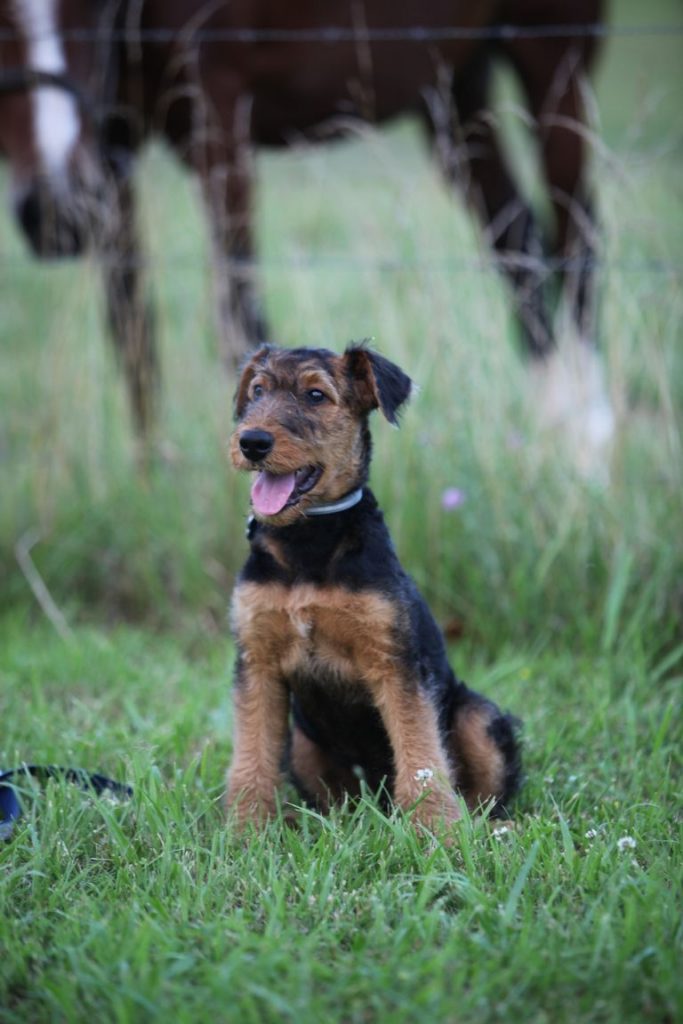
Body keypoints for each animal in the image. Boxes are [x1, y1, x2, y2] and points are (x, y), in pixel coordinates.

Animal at [0, 1, 606, 440]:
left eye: (90, 8)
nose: (54, 212)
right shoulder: (113, 138)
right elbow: (132, 331)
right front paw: (155, 481)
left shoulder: (218, 108)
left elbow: (238, 316)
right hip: (455, 82)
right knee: (518, 241)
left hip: (552, 53)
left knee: (575, 242)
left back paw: (589, 447)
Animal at [227, 342, 520, 831]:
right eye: (257, 391)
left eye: (315, 395)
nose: (252, 442)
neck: (308, 540)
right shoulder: (257, 660)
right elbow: (251, 755)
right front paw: (245, 830)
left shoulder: (394, 661)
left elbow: (421, 754)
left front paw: (436, 831)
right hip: (304, 744)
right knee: (337, 797)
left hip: (478, 717)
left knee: (485, 797)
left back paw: (494, 828)